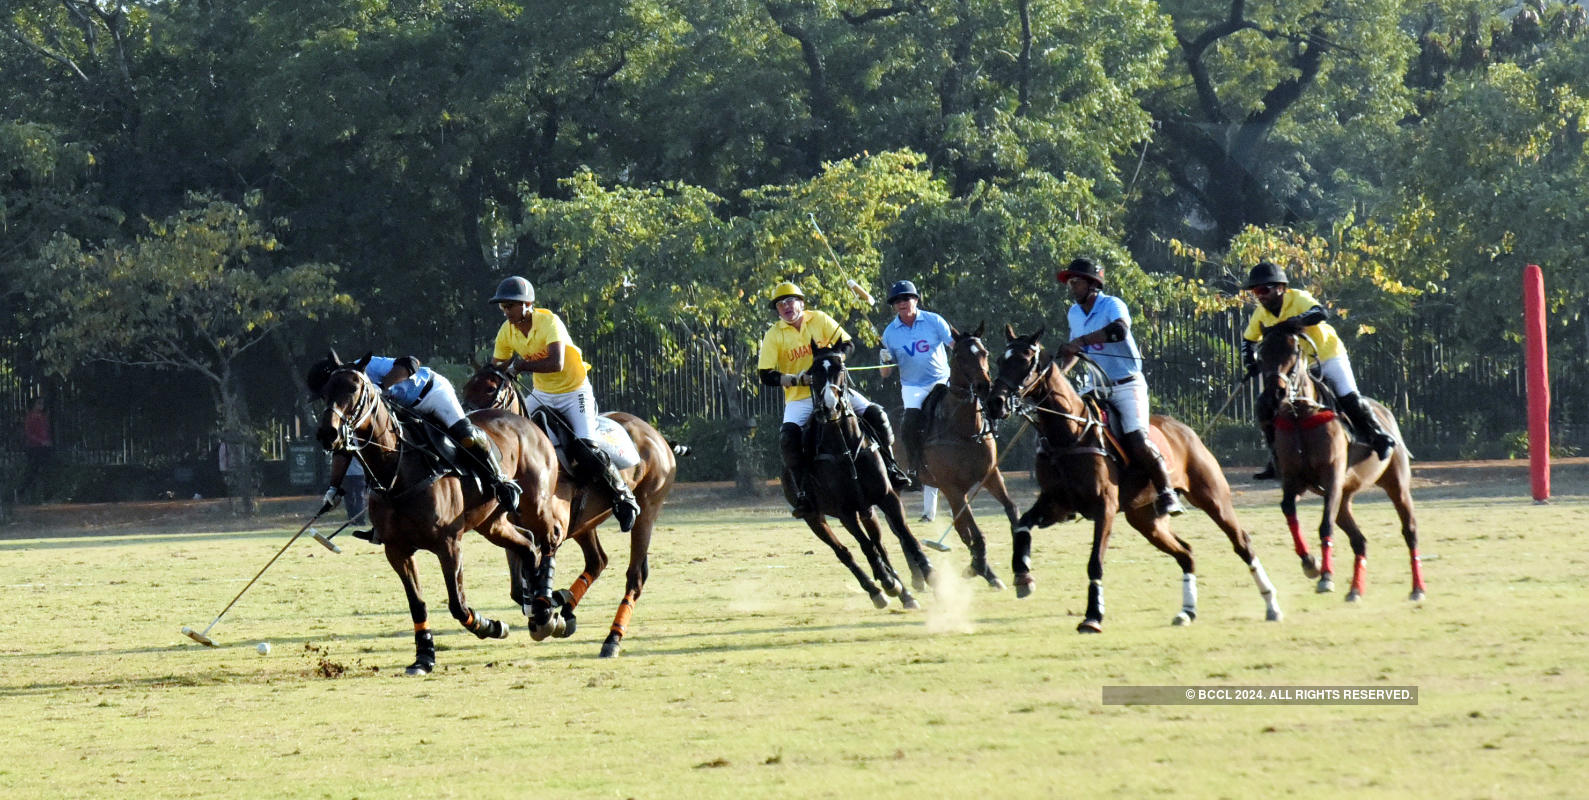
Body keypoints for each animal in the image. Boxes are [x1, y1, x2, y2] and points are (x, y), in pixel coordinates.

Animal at [313, 357, 562, 677]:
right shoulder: (397, 550)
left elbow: (457, 603)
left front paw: (490, 626)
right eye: (325, 391)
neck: (397, 471)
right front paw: (424, 657)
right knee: (528, 544)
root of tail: (527, 423)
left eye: (354, 388)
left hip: (536, 502)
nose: (328, 434)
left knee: (549, 537)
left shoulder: (448, 544)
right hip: (491, 523)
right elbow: (417, 604)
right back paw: (538, 610)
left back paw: (544, 609)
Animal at [463, 362, 680, 658]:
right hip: (586, 523)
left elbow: (538, 573)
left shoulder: (554, 527)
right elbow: (520, 588)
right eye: (466, 388)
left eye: (490, 388)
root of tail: (656, 435)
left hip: (647, 510)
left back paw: (612, 639)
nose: (468, 427)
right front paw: (552, 610)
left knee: (635, 576)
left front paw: (548, 614)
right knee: (597, 561)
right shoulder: (511, 529)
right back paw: (567, 606)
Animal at [915, 326, 1023, 594]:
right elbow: (975, 531)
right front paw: (981, 568)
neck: (963, 429)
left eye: (984, 352)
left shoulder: (991, 474)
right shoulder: (953, 488)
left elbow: (1011, 509)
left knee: (959, 528)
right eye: (961, 357)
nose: (984, 386)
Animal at [985, 326, 1283, 633]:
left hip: (1212, 497)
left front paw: (1093, 616)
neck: (1069, 434)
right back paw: (1186, 611)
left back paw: (1271, 604)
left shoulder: (1104, 507)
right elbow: (1021, 525)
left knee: (1241, 542)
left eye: (1025, 360)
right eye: (999, 359)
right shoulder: (1056, 503)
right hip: (1145, 519)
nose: (994, 403)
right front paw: (1023, 576)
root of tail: (1186, 430)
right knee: (1186, 552)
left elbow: (1095, 562)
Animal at [1252, 326, 1430, 601]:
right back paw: (1355, 590)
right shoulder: (1295, 481)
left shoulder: (1332, 479)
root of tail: (1386, 413)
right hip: (1345, 499)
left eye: (1294, 350)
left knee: (1409, 531)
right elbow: (1288, 508)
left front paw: (1325, 577)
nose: (1274, 396)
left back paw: (1418, 589)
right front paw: (1310, 563)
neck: (1300, 416)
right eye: (1262, 354)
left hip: (1396, 485)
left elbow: (1324, 525)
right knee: (1360, 540)